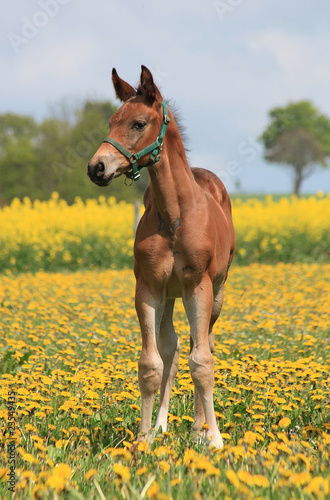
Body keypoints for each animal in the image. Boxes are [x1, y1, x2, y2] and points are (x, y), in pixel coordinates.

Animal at [87, 64, 235, 448]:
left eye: (139, 123)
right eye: (112, 121)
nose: (97, 168)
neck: (174, 216)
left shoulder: (199, 286)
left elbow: (203, 362)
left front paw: (214, 438)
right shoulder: (149, 288)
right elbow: (151, 363)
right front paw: (144, 438)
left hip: (215, 292)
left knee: (203, 343)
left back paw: (198, 427)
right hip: (171, 295)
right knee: (173, 346)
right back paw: (162, 425)